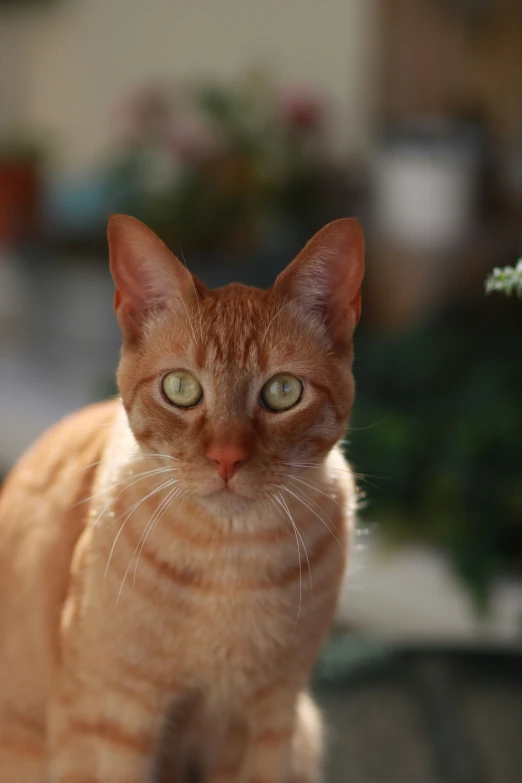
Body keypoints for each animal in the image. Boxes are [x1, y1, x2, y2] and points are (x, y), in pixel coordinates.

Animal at [0, 216, 362, 783]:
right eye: (181, 388)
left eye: (283, 392)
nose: (227, 457)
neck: (231, 563)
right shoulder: (110, 715)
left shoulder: (270, 718)